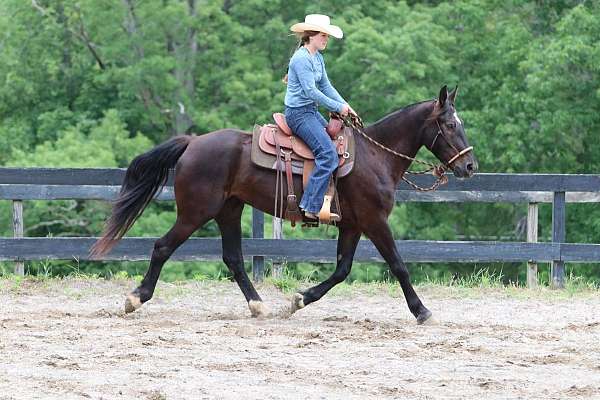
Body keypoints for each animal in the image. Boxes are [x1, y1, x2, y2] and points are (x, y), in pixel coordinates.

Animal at [92, 85, 478, 324]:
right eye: (449, 124)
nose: (470, 166)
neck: (374, 156)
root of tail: (193, 142)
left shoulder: (353, 225)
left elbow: (342, 270)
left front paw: (299, 300)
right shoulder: (374, 220)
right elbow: (398, 266)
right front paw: (422, 311)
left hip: (229, 210)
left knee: (233, 258)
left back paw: (258, 306)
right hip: (196, 212)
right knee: (162, 246)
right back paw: (135, 299)